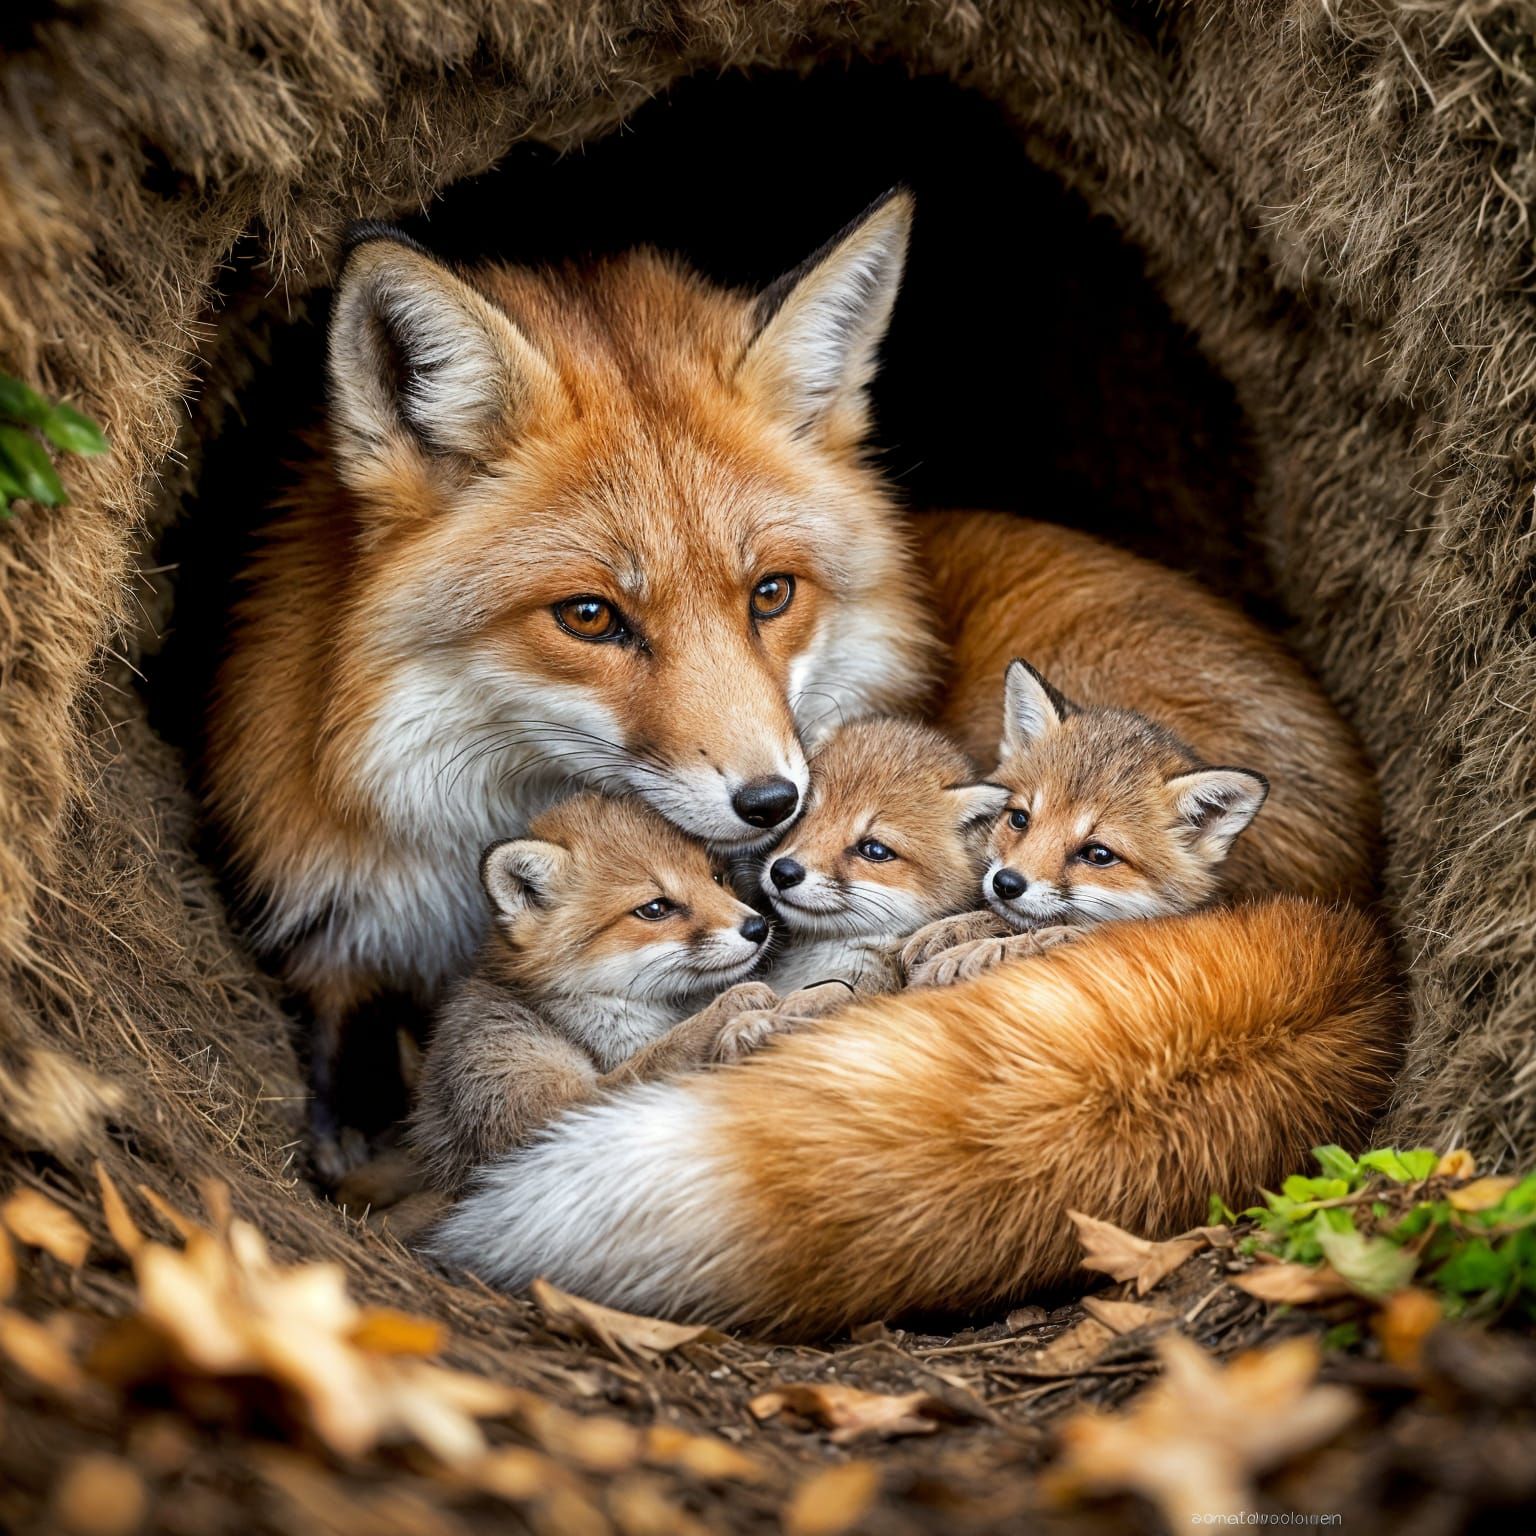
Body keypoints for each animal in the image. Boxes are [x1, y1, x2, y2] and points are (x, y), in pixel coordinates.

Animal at [410, 792, 807, 1194]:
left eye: (716, 878)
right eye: (654, 908)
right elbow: (655, 1058)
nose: (757, 927)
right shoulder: (531, 1099)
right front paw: (731, 1010)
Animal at [899, 658, 1269, 986]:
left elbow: (1053, 937)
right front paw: (953, 929)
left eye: (1099, 854)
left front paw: (969, 955)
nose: (1006, 883)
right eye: (1019, 819)